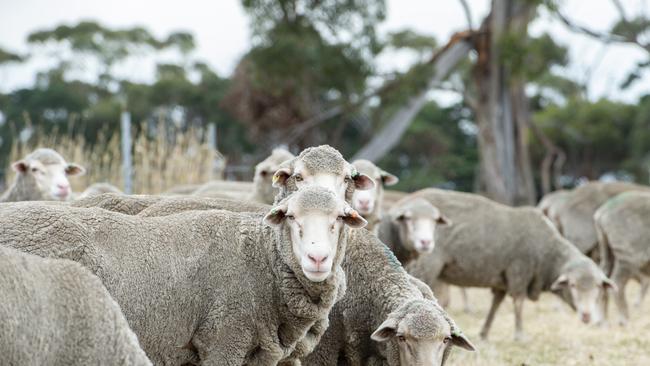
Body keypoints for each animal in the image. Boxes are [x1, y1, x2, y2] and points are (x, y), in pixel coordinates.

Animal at [404, 189, 612, 340]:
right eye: (573, 285)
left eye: (598, 288)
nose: (587, 316)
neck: (546, 253)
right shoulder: (519, 270)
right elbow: (518, 302)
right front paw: (520, 335)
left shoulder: (502, 279)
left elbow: (495, 305)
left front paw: (484, 333)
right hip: (425, 264)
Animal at [596, 190, 648, 324]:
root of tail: (601, 214)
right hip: (626, 254)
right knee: (617, 283)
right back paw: (624, 319)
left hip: (607, 249)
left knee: (603, 280)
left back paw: (602, 320)